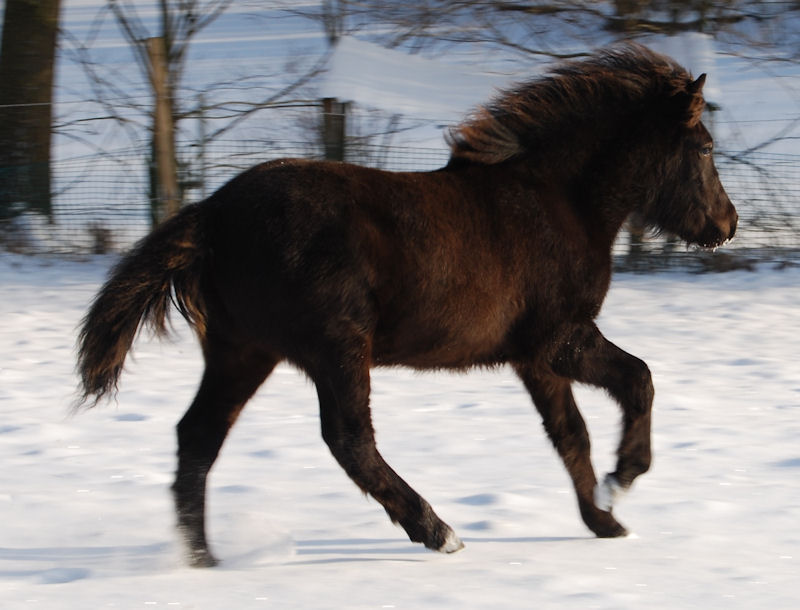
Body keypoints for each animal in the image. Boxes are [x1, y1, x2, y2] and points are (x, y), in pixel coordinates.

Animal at [76, 44, 736, 564]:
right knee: (348, 440)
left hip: (244, 350)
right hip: (337, 346)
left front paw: (604, 519)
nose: (727, 225)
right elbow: (638, 379)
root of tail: (212, 214)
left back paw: (204, 559)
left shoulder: (533, 357)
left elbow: (570, 435)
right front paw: (626, 476)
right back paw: (438, 531)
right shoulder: (561, 337)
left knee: (199, 437)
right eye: (704, 148)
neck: (558, 202)